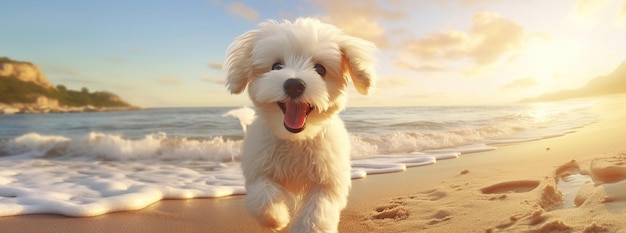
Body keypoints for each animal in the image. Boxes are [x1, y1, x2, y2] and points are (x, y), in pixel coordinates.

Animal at [224, 18, 376, 233]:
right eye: (276, 66)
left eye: (320, 69)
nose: (294, 85)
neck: (296, 139)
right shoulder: (258, 165)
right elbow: (262, 193)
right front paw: (276, 217)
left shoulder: (327, 180)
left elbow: (317, 211)